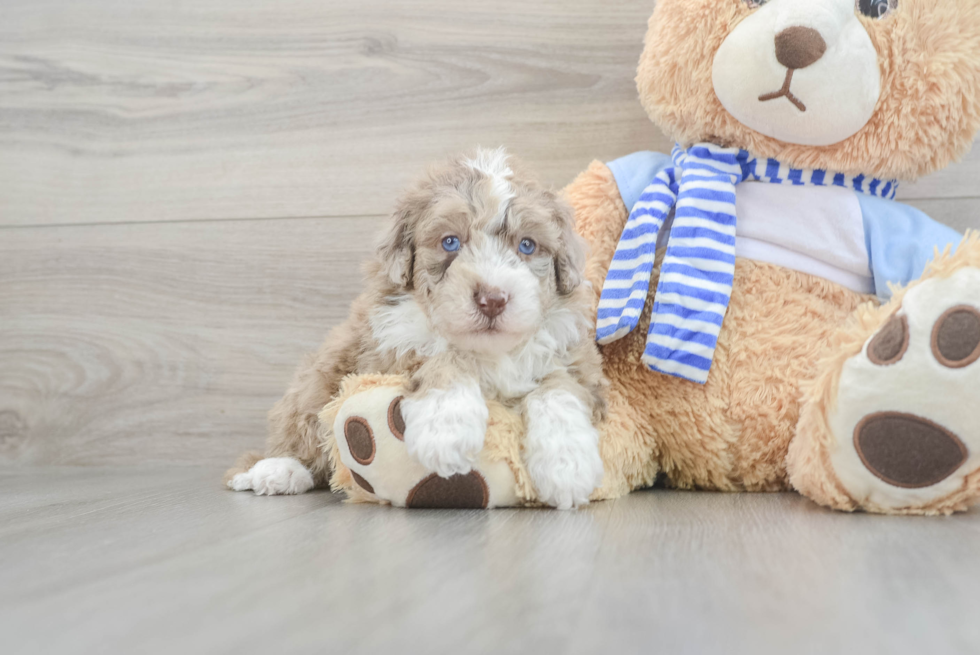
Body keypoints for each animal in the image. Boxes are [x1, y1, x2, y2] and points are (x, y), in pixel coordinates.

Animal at [228, 150, 604, 512]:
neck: (488, 351)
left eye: (527, 245)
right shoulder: (387, 349)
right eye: (450, 242)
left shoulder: (578, 361)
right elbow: (444, 357)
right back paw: (278, 469)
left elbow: (558, 388)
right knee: (302, 424)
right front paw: (446, 431)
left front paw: (567, 465)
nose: (492, 300)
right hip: (322, 373)